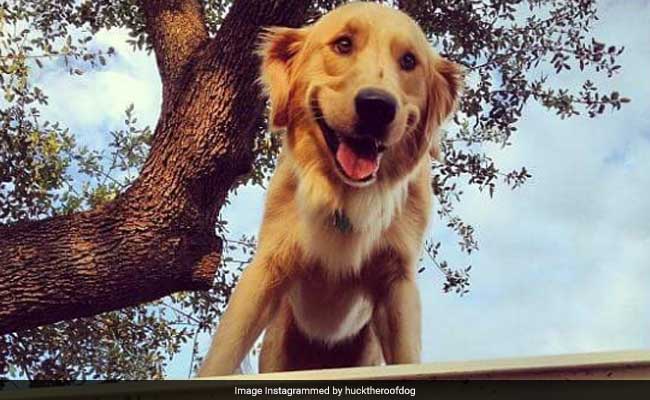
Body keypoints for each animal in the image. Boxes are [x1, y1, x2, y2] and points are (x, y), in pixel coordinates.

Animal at [197, 2, 460, 376]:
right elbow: (220, 358)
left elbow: (408, 357)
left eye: (409, 61)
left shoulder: (398, 281)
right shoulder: (267, 266)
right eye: (343, 44)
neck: (346, 196)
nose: (377, 106)